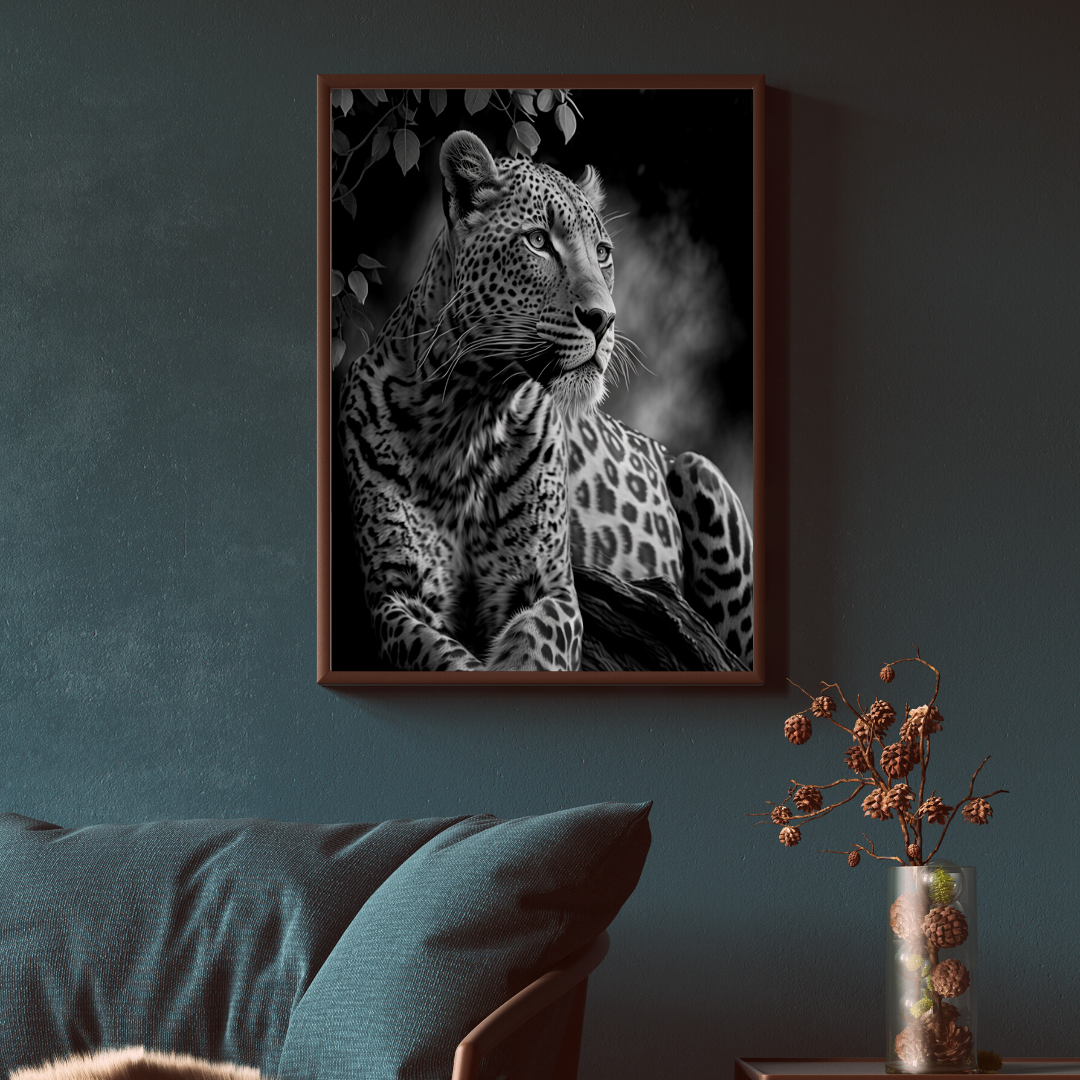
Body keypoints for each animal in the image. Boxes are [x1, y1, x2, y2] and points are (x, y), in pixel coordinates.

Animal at [337, 128, 752, 671]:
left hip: (698, 471)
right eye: (538, 241)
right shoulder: (393, 596)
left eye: (603, 252)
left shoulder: (550, 589)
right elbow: (446, 658)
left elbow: (531, 653)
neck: (467, 414)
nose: (604, 319)